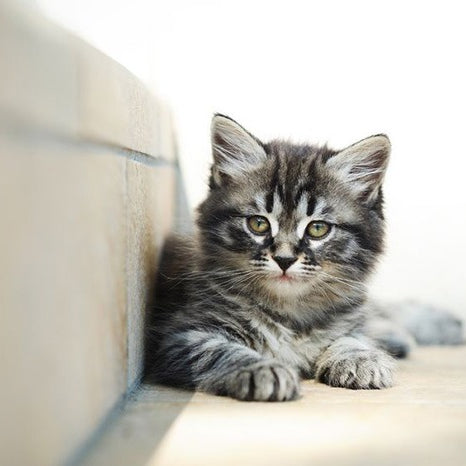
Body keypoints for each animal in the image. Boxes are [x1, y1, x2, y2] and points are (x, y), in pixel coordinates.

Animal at [146, 114, 462, 402]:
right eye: (258, 224)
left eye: (318, 229)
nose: (284, 259)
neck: (289, 312)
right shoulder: (182, 335)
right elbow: (222, 352)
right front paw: (262, 369)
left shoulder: (347, 317)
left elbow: (352, 337)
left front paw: (361, 358)